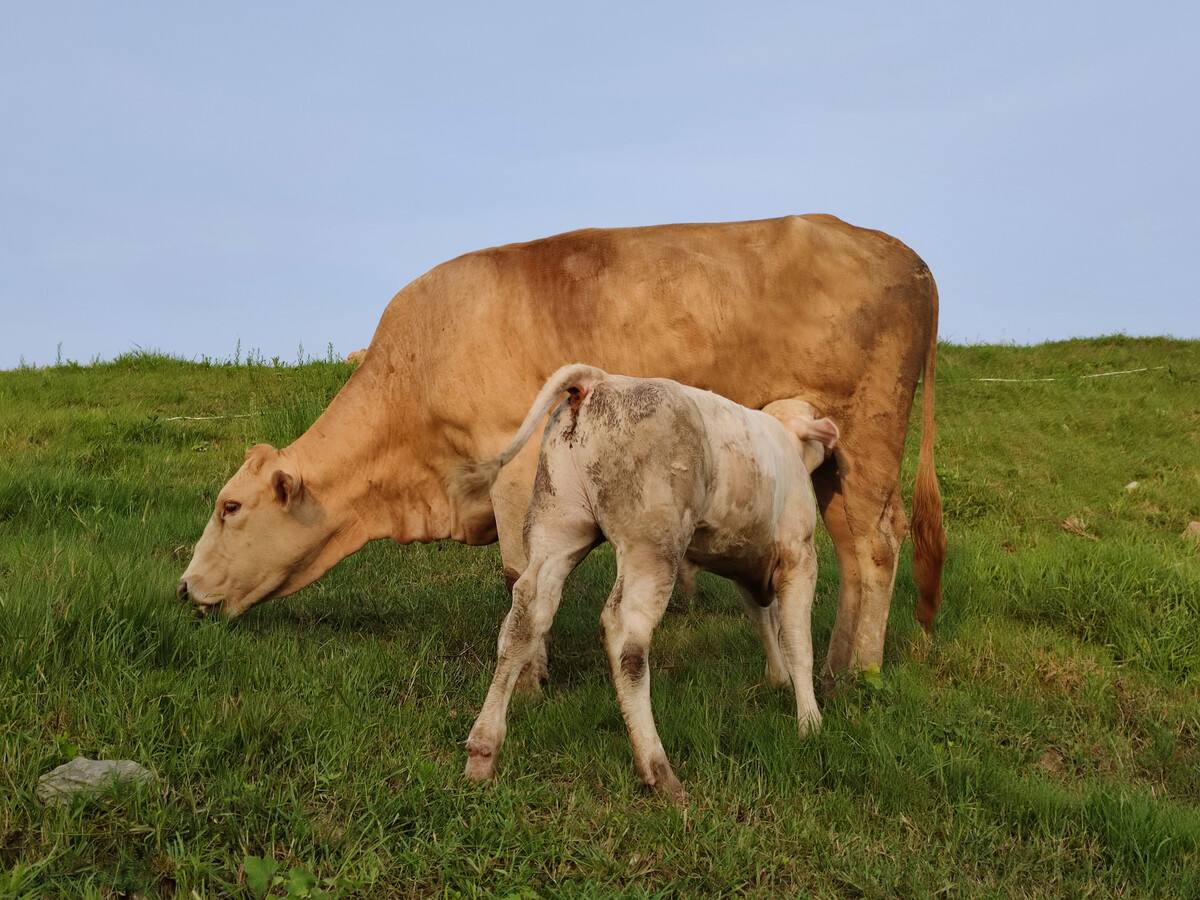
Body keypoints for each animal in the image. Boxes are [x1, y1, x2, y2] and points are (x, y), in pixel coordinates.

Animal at [177, 214, 945, 681]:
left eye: (229, 507)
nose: (183, 588)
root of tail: (903, 254)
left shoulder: (515, 471)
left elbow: (521, 577)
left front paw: (531, 676)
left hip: (869, 432)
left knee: (875, 547)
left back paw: (857, 673)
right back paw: (836, 664)